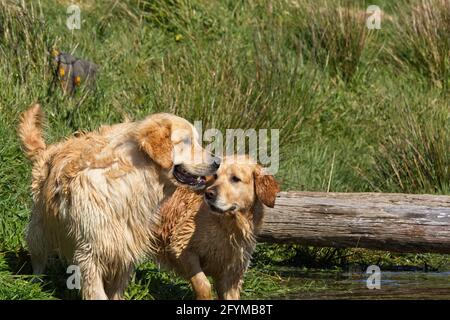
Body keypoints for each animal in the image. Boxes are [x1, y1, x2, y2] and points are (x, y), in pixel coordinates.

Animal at [19, 103, 220, 300]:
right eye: (186, 141)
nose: (217, 162)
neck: (132, 182)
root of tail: (49, 150)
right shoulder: (90, 252)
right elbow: (97, 292)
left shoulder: (125, 249)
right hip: (40, 228)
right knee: (38, 255)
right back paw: (35, 284)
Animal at [156, 156, 280, 300]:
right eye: (215, 176)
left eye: (235, 179)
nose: (209, 194)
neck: (228, 225)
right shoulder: (181, 246)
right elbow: (203, 284)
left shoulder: (232, 272)